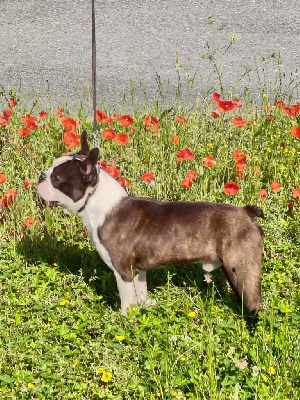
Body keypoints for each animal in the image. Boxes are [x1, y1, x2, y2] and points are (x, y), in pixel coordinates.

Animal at [37, 131, 264, 316]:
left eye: (56, 178)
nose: (41, 175)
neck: (97, 203)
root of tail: (246, 212)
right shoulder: (138, 270)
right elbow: (141, 290)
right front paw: (145, 305)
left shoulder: (123, 270)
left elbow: (127, 299)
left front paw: (126, 320)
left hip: (242, 270)